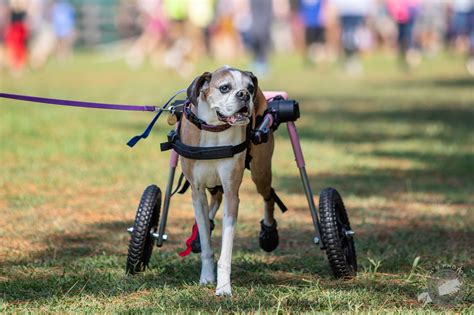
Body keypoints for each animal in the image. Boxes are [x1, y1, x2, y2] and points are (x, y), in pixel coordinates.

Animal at [181, 66, 280, 296]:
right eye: (224, 87)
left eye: (250, 87)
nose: (244, 95)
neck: (214, 130)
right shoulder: (197, 193)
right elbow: (206, 242)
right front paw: (206, 277)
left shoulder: (232, 194)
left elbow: (225, 251)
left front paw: (224, 287)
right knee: (213, 205)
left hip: (260, 171)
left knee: (269, 196)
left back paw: (269, 233)